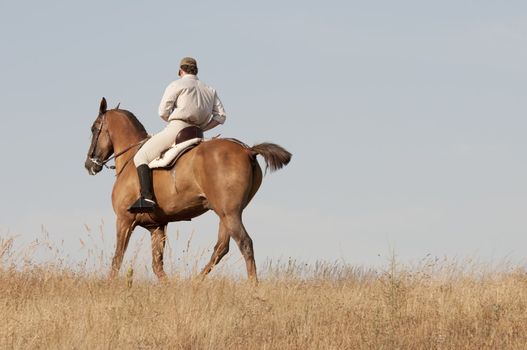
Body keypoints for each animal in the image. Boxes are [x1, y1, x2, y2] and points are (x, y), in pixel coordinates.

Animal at [85, 98, 292, 282]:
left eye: (94, 128)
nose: (89, 165)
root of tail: (248, 150)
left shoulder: (124, 220)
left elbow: (117, 259)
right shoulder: (157, 226)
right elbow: (157, 266)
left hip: (229, 213)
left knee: (245, 243)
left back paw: (252, 285)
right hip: (227, 213)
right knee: (221, 248)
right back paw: (195, 282)